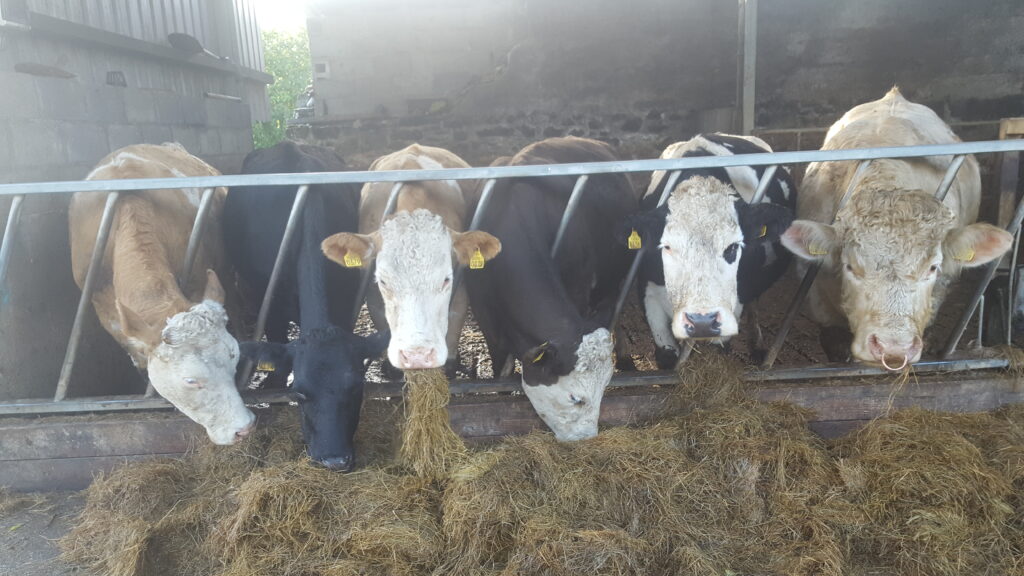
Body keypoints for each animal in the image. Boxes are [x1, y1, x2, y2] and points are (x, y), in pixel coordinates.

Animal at [224, 141, 387, 471]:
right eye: (299, 392)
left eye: (356, 388)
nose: (335, 459)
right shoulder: (268, 301)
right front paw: (272, 383)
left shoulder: (346, 302)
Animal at [466, 136, 639, 442]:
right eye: (575, 398)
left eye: (605, 387)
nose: (588, 437)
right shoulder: (483, 310)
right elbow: (501, 363)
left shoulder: (579, 288)